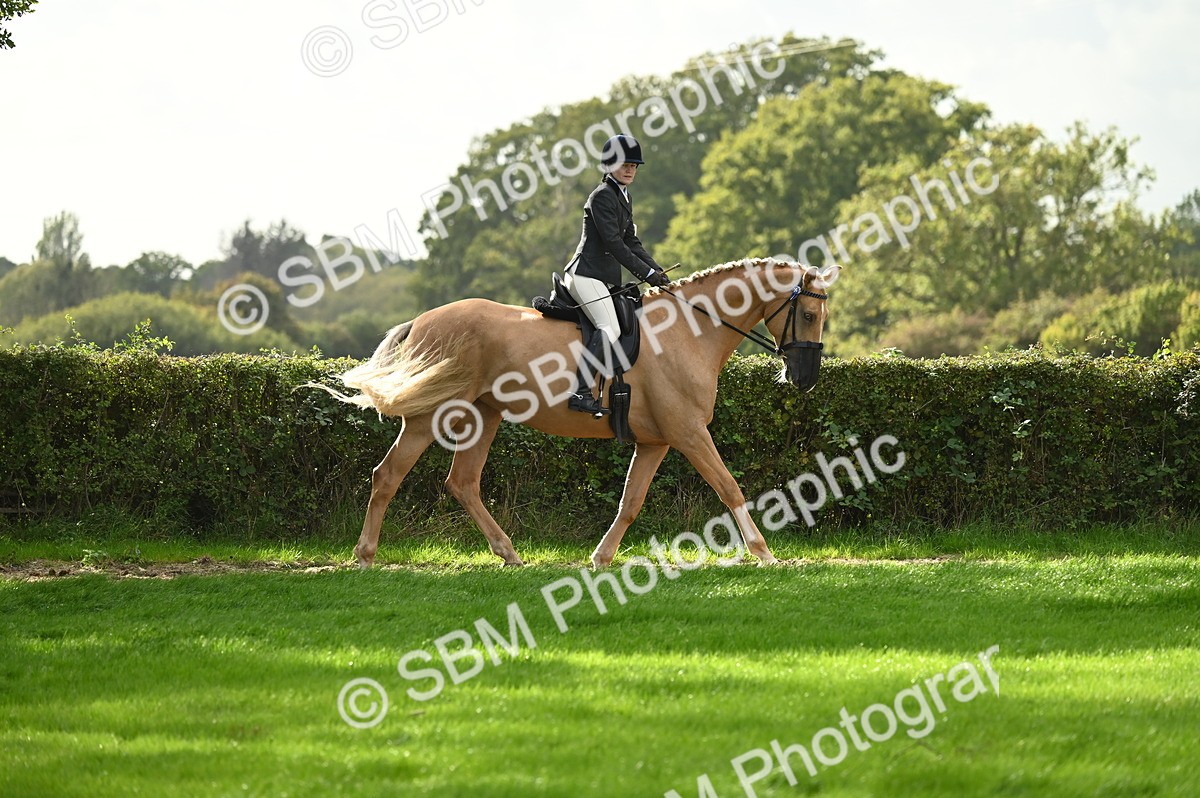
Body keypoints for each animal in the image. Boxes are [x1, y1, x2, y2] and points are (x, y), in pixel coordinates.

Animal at [318, 257, 838, 568]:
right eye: (810, 315)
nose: (805, 379)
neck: (691, 329)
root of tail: (424, 320)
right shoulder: (689, 433)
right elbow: (730, 487)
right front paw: (764, 554)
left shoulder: (657, 441)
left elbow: (631, 503)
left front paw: (601, 558)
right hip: (429, 417)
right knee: (388, 475)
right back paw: (365, 556)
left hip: (484, 416)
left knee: (462, 482)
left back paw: (509, 554)